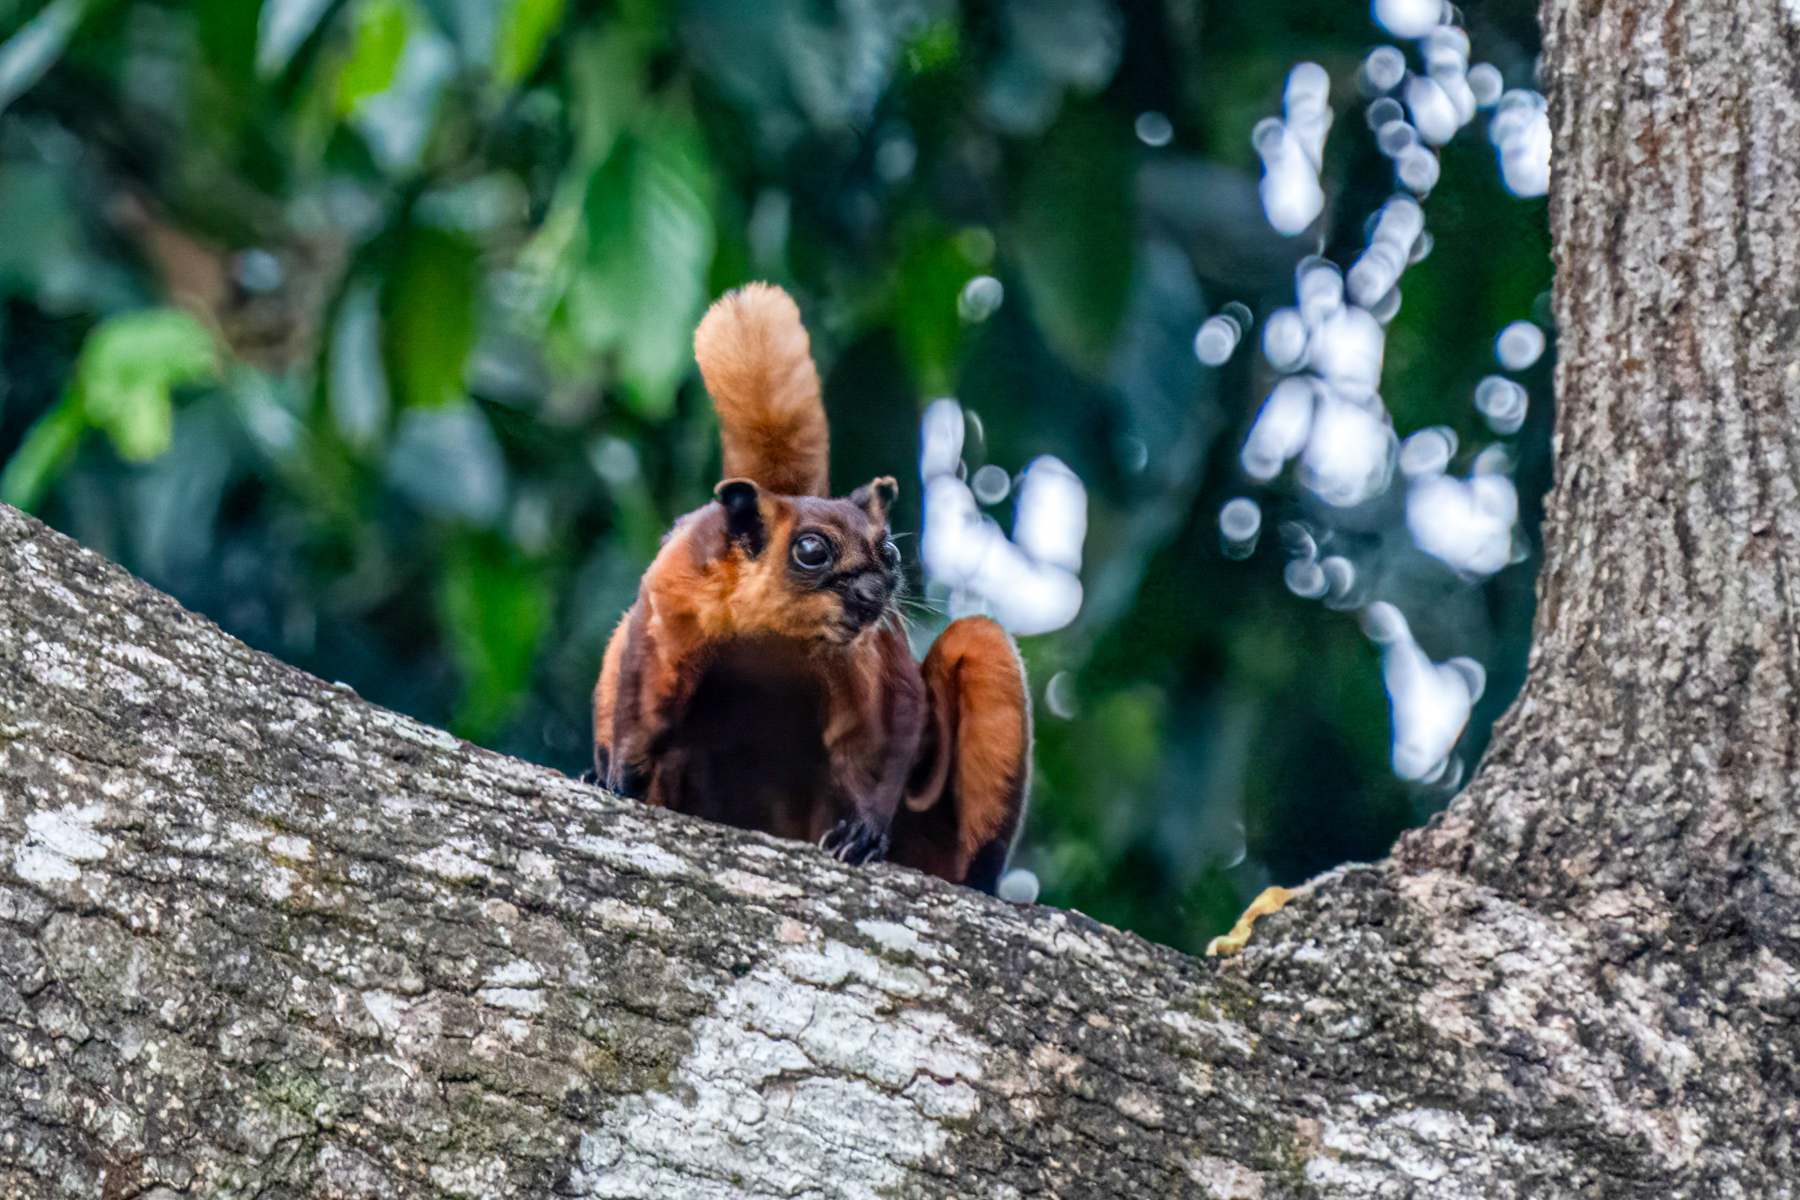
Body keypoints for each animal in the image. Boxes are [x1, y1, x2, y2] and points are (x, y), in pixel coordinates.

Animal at [591, 282, 1031, 892]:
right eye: (812, 551)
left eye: (890, 554)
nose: (875, 590)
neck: (777, 635)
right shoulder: (675, 586)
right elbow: (645, 678)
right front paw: (620, 779)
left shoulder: (872, 650)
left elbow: (890, 718)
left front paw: (862, 833)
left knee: (979, 640)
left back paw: (974, 884)